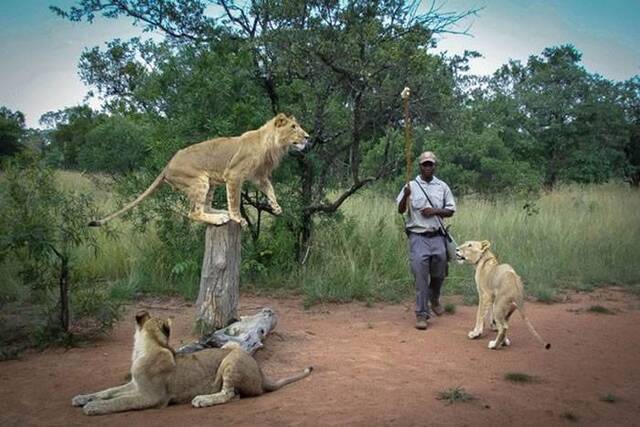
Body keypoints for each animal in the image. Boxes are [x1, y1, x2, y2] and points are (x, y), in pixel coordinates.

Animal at [72, 312, 312, 416]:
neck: (149, 346)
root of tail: (262, 374)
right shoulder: (135, 385)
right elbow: (109, 391)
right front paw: (82, 397)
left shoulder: (152, 396)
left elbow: (120, 401)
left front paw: (93, 407)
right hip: (231, 349)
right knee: (235, 395)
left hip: (232, 357)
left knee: (228, 394)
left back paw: (202, 400)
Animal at [89, 113, 308, 227]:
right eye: (294, 127)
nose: (307, 137)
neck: (272, 145)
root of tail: (168, 164)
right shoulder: (234, 175)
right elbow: (234, 200)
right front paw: (238, 218)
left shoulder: (259, 176)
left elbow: (270, 190)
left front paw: (276, 207)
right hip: (198, 180)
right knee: (193, 213)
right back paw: (221, 218)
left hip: (210, 182)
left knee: (205, 207)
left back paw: (220, 213)